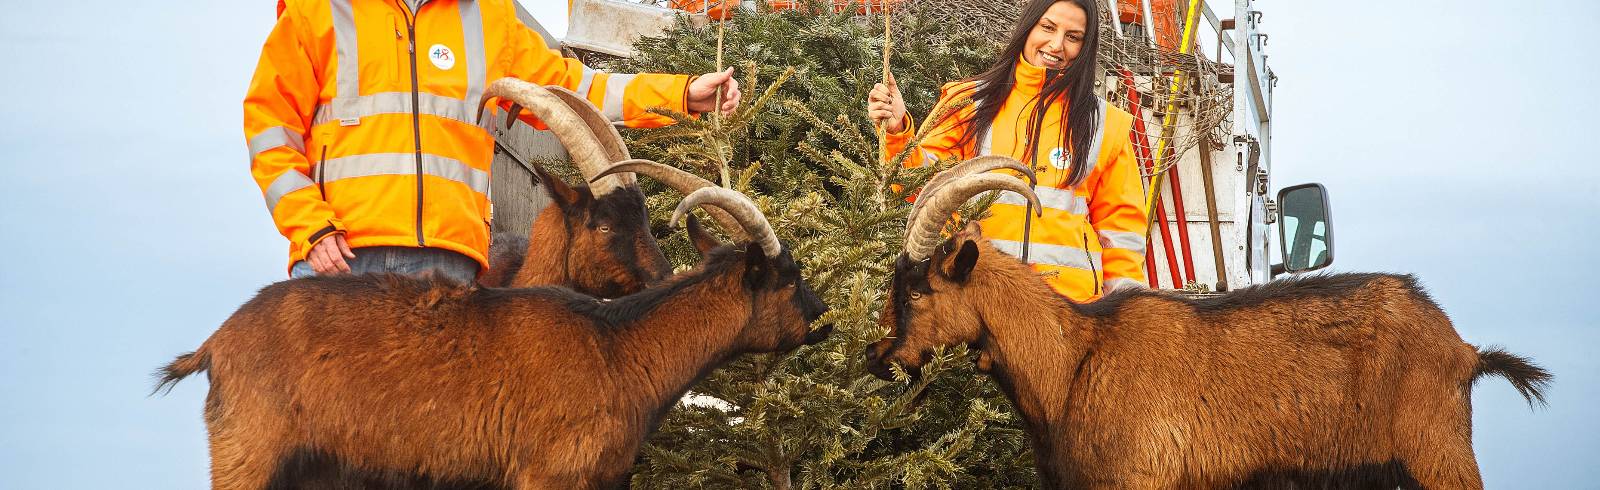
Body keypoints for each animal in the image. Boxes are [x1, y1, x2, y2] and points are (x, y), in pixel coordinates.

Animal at [159, 185, 838, 486]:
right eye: (790, 276)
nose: (822, 316)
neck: (620, 348)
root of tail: (217, 343)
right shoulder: (549, 474)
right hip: (248, 453)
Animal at [870, 157, 1555, 490]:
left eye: (918, 287)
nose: (880, 356)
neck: (1071, 363)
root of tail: (1463, 350)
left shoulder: (1139, 478)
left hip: (1437, 456)